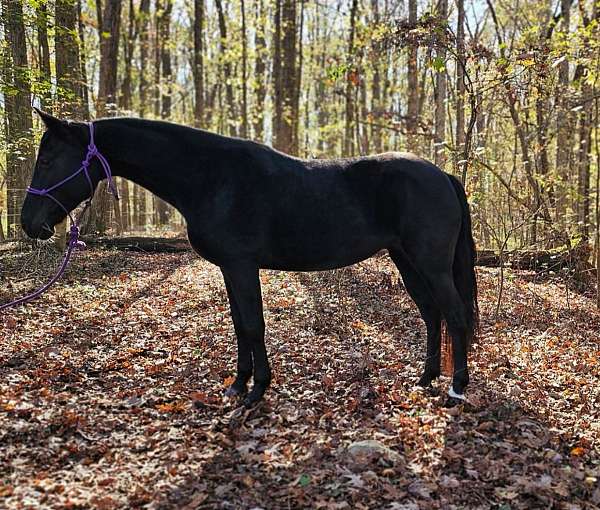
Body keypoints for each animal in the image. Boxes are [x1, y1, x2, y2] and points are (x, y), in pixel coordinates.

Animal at [19, 110, 478, 406]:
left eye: (49, 157)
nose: (28, 223)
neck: (212, 177)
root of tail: (442, 174)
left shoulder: (242, 266)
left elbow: (254, 324)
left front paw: (257, 390)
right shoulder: (228, 268)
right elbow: (240, 326)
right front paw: (238, 385)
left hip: (430, 263)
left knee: (454, 315)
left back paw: (456, 390)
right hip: (406, 261)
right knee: (432, 314)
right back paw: (426, 378)